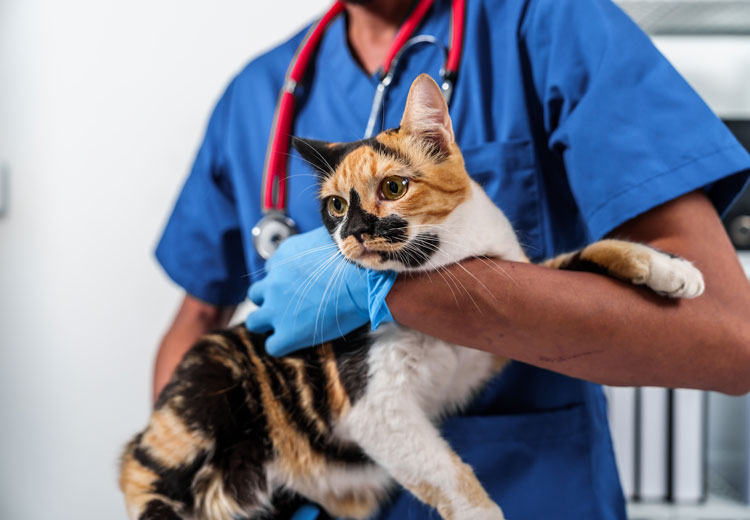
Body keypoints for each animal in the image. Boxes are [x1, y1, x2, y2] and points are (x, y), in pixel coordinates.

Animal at [120, 74, 708, 520]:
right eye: (335, 206)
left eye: (394, 188)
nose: (355, 230)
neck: (453, 263)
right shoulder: (376, 408)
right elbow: (453, 480)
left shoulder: (503, 327)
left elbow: (581, 255)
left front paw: (668, 269)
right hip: (196, 408)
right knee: (140, 470)